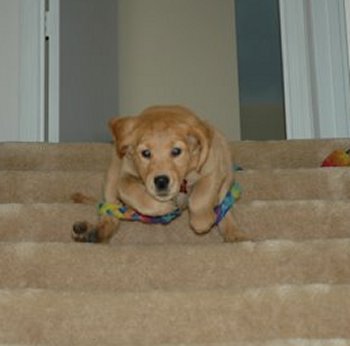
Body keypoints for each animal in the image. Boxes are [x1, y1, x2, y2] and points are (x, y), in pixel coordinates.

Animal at [72, 105, 243, 243]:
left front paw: (202, 221)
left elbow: (201, 196)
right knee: (110, 214)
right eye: (145, 153)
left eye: (176, 151)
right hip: (112, 171)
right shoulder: (125, 170)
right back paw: (91, 233)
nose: (161, 181)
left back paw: (235, 235)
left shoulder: (214, 166)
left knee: (225, 209)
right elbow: (128, 188)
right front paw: (163, 207)